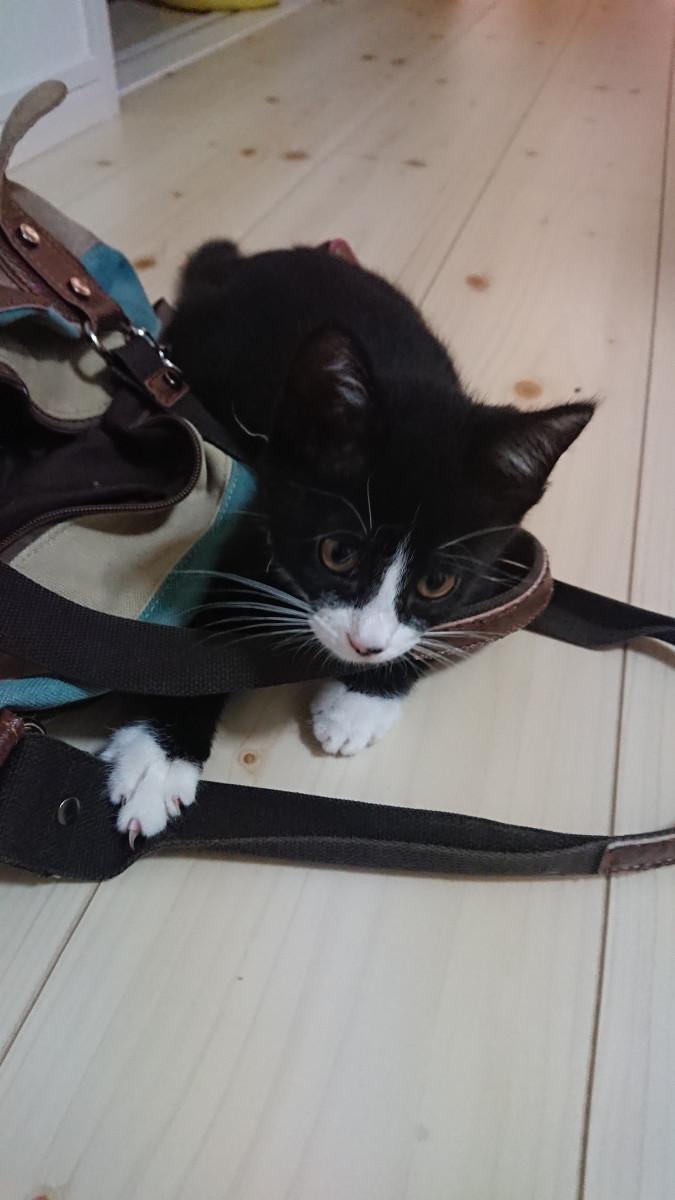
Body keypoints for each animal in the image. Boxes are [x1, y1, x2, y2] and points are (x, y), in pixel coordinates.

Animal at [102, 239, 593, 842]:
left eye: (437, 582)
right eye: (337, 554)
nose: (365, 647)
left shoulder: (495, 553)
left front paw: (359, 703)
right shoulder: (261, 503)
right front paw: (158, 760)